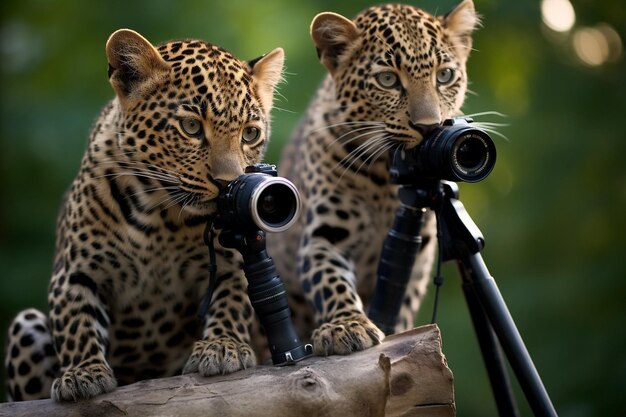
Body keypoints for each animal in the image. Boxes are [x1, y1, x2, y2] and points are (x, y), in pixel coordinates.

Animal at [4, 28, 282, 400]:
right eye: (191, 127)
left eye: (250, 133)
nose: (228, 183)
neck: (159, 215)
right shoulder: (75, 270)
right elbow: (75, 320)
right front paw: (82, 373)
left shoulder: (230, 258)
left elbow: (233, 299)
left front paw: (223, 346)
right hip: (27, 325)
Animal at [270, 0, 480, 354]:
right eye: (387, 79)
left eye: (445, 75)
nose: (429, 128)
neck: (385, 176)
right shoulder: (323, 237)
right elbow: (330, 281)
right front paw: (346, 327)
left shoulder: (421, 255)